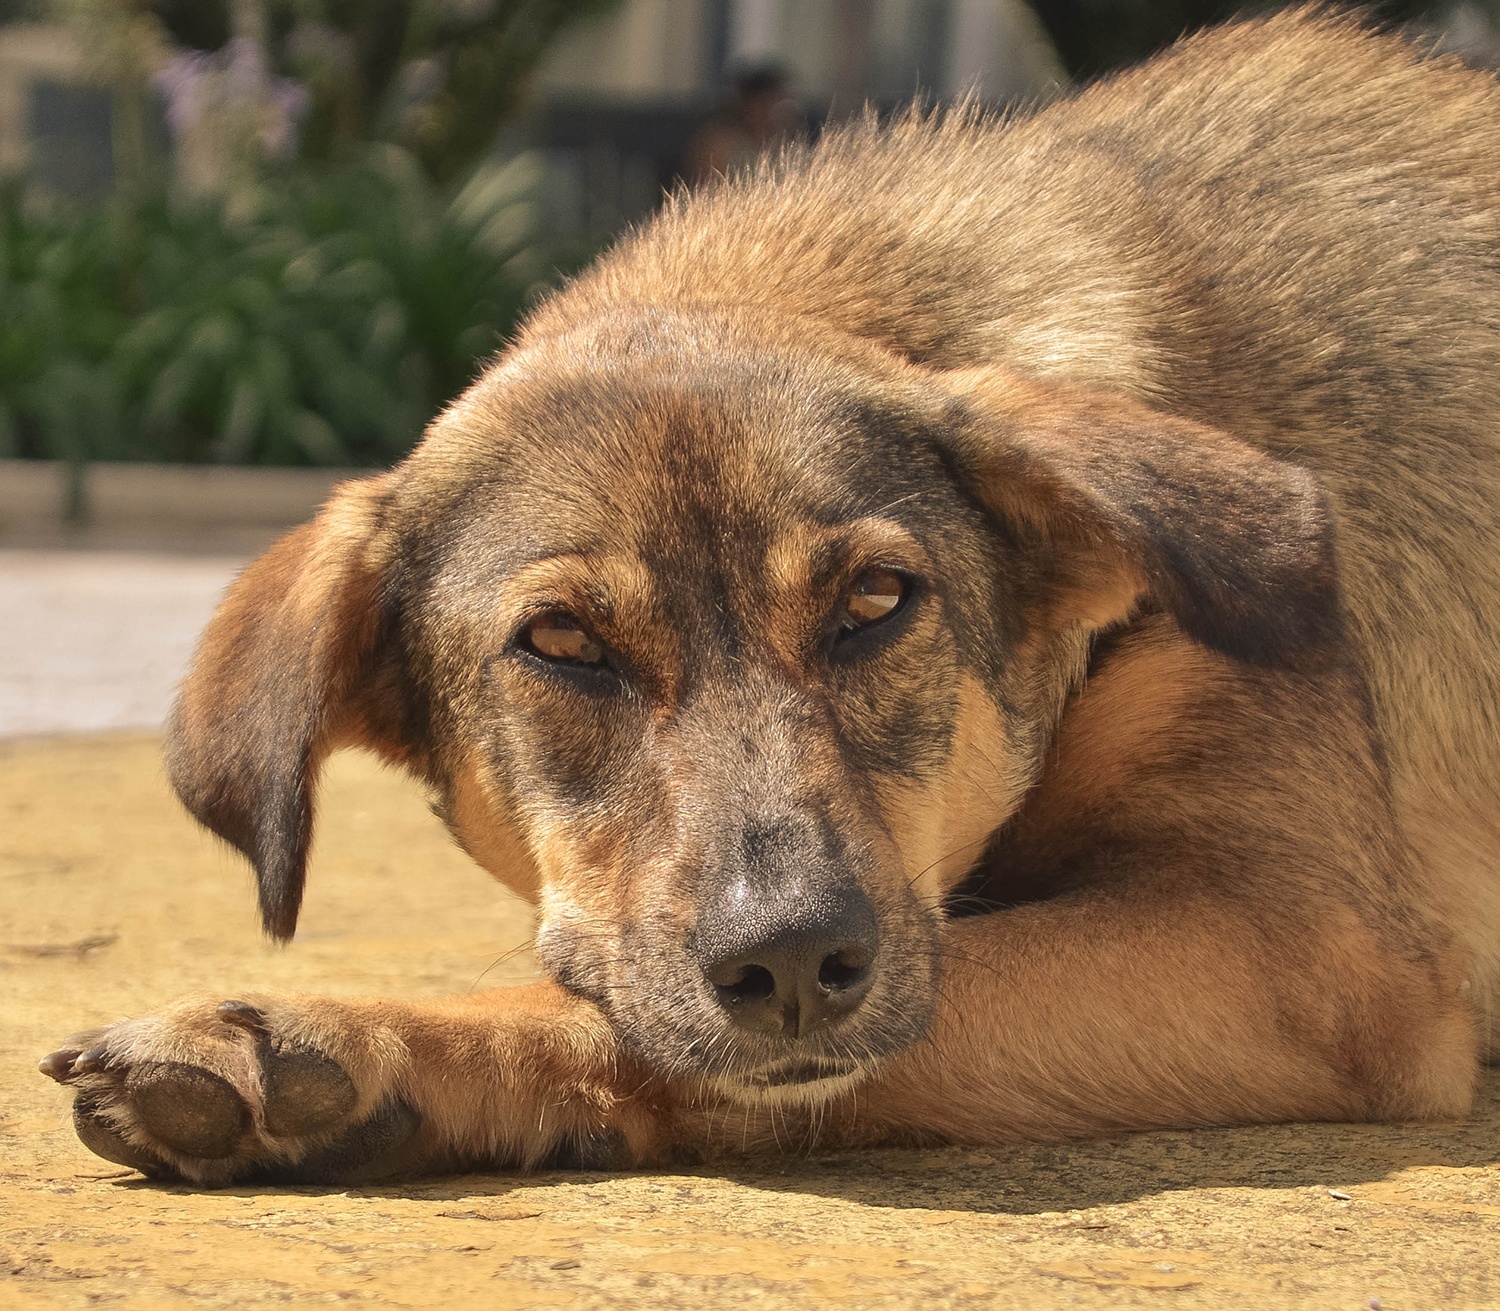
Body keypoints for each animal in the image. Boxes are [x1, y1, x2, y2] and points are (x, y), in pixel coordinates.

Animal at [41, 5, 1494, 1182]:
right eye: (560, 640)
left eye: (878, 601)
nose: (792, 960)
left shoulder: (1306, 949)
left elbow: (637, 1022)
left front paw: (362, 1038)